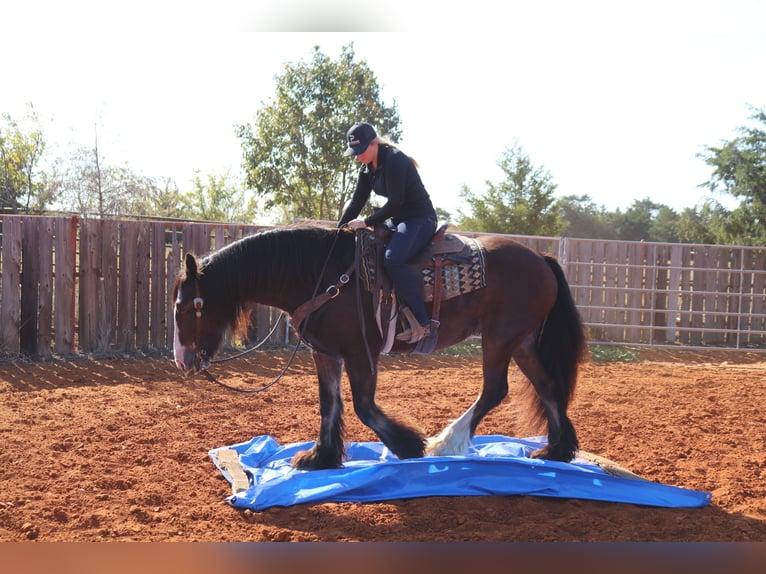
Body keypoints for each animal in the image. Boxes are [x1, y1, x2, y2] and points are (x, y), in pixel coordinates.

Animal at [172, 225, 588, 472]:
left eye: (187, 306)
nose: (181, 361)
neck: (323, 275)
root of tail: (542, 259)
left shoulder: (360, 352)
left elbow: (363, 406)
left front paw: (409, 445)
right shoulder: (325, 352)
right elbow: (329, 403)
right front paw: (320, 457)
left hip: (500, 336)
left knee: (495, 389)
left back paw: (447, 442)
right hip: (523, 340)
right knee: (547, 386)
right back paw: (556, 451)